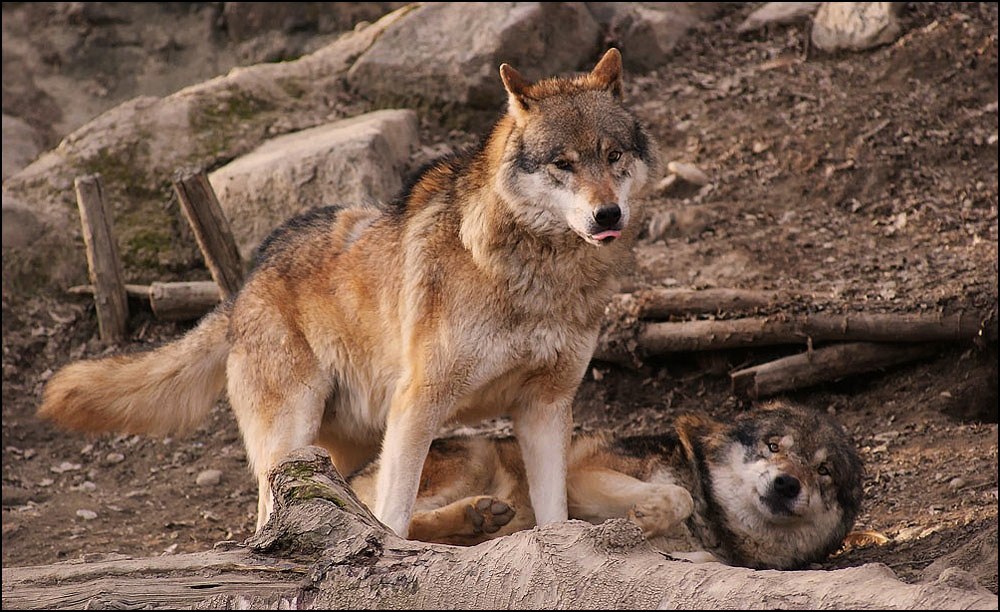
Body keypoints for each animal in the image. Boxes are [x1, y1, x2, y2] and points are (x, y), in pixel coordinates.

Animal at [350, 402, 860, 568]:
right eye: (773, 446)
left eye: (824, 471)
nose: (787, 484)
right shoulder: (580, 476)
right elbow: (676, 495)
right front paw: (642, 522)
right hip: (473, 457)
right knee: (396, 524)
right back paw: (477, 517)